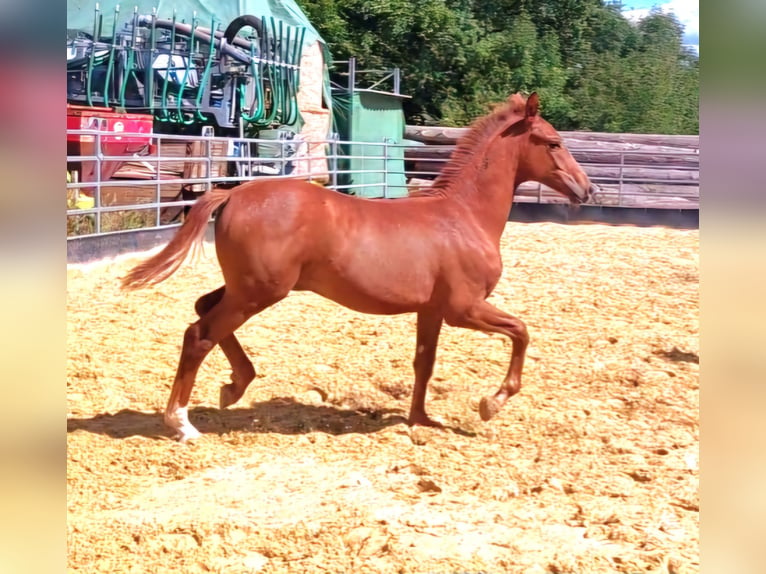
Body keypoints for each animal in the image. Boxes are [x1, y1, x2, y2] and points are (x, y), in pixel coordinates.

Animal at [123, 92, 596, 444]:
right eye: (553, 142)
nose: (586, 190)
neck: (463, 217)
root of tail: (235, 194)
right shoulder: (464, 309)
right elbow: (521, 331)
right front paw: (490, 404)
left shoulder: (432, 310)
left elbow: (424, 362)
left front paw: (420, 419)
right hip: (258, 292)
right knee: (199, 335)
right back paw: (183, 423)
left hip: (246, 288)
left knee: (203, 309)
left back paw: (235, 385)